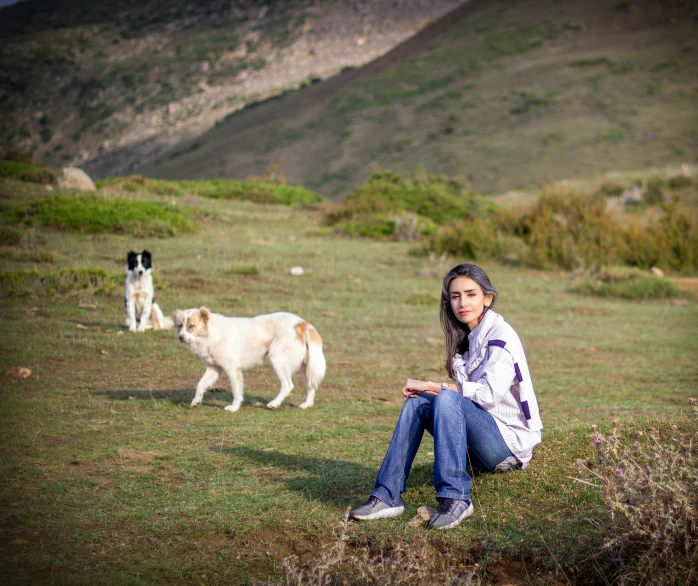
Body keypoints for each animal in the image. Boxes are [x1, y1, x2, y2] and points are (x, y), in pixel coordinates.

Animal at [174, 306, 326, 410]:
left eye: (191, 326)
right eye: (179, 326)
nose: (180, 338)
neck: (211, 333)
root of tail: (302, 323)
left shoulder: (232, 368)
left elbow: (236, 391)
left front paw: (234, 408)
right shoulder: (214, 369)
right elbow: (200, 384)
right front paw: (196, 401)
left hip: (278, 360)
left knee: (288, 385)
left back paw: (274, 404)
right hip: (304, 367)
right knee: (311, 386)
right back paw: (306, 405)